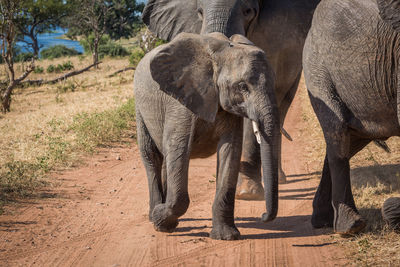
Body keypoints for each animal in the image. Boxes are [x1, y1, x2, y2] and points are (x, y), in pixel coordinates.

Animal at [133, 32, 280, 242]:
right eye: (242, 86)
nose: (263, 215)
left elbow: (230, 152)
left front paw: (226, 236)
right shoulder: (181, 102)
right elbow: (179, 150)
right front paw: (161, 221)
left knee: (165, 160)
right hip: (140, 108)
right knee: (151, 155)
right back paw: (155, 215)